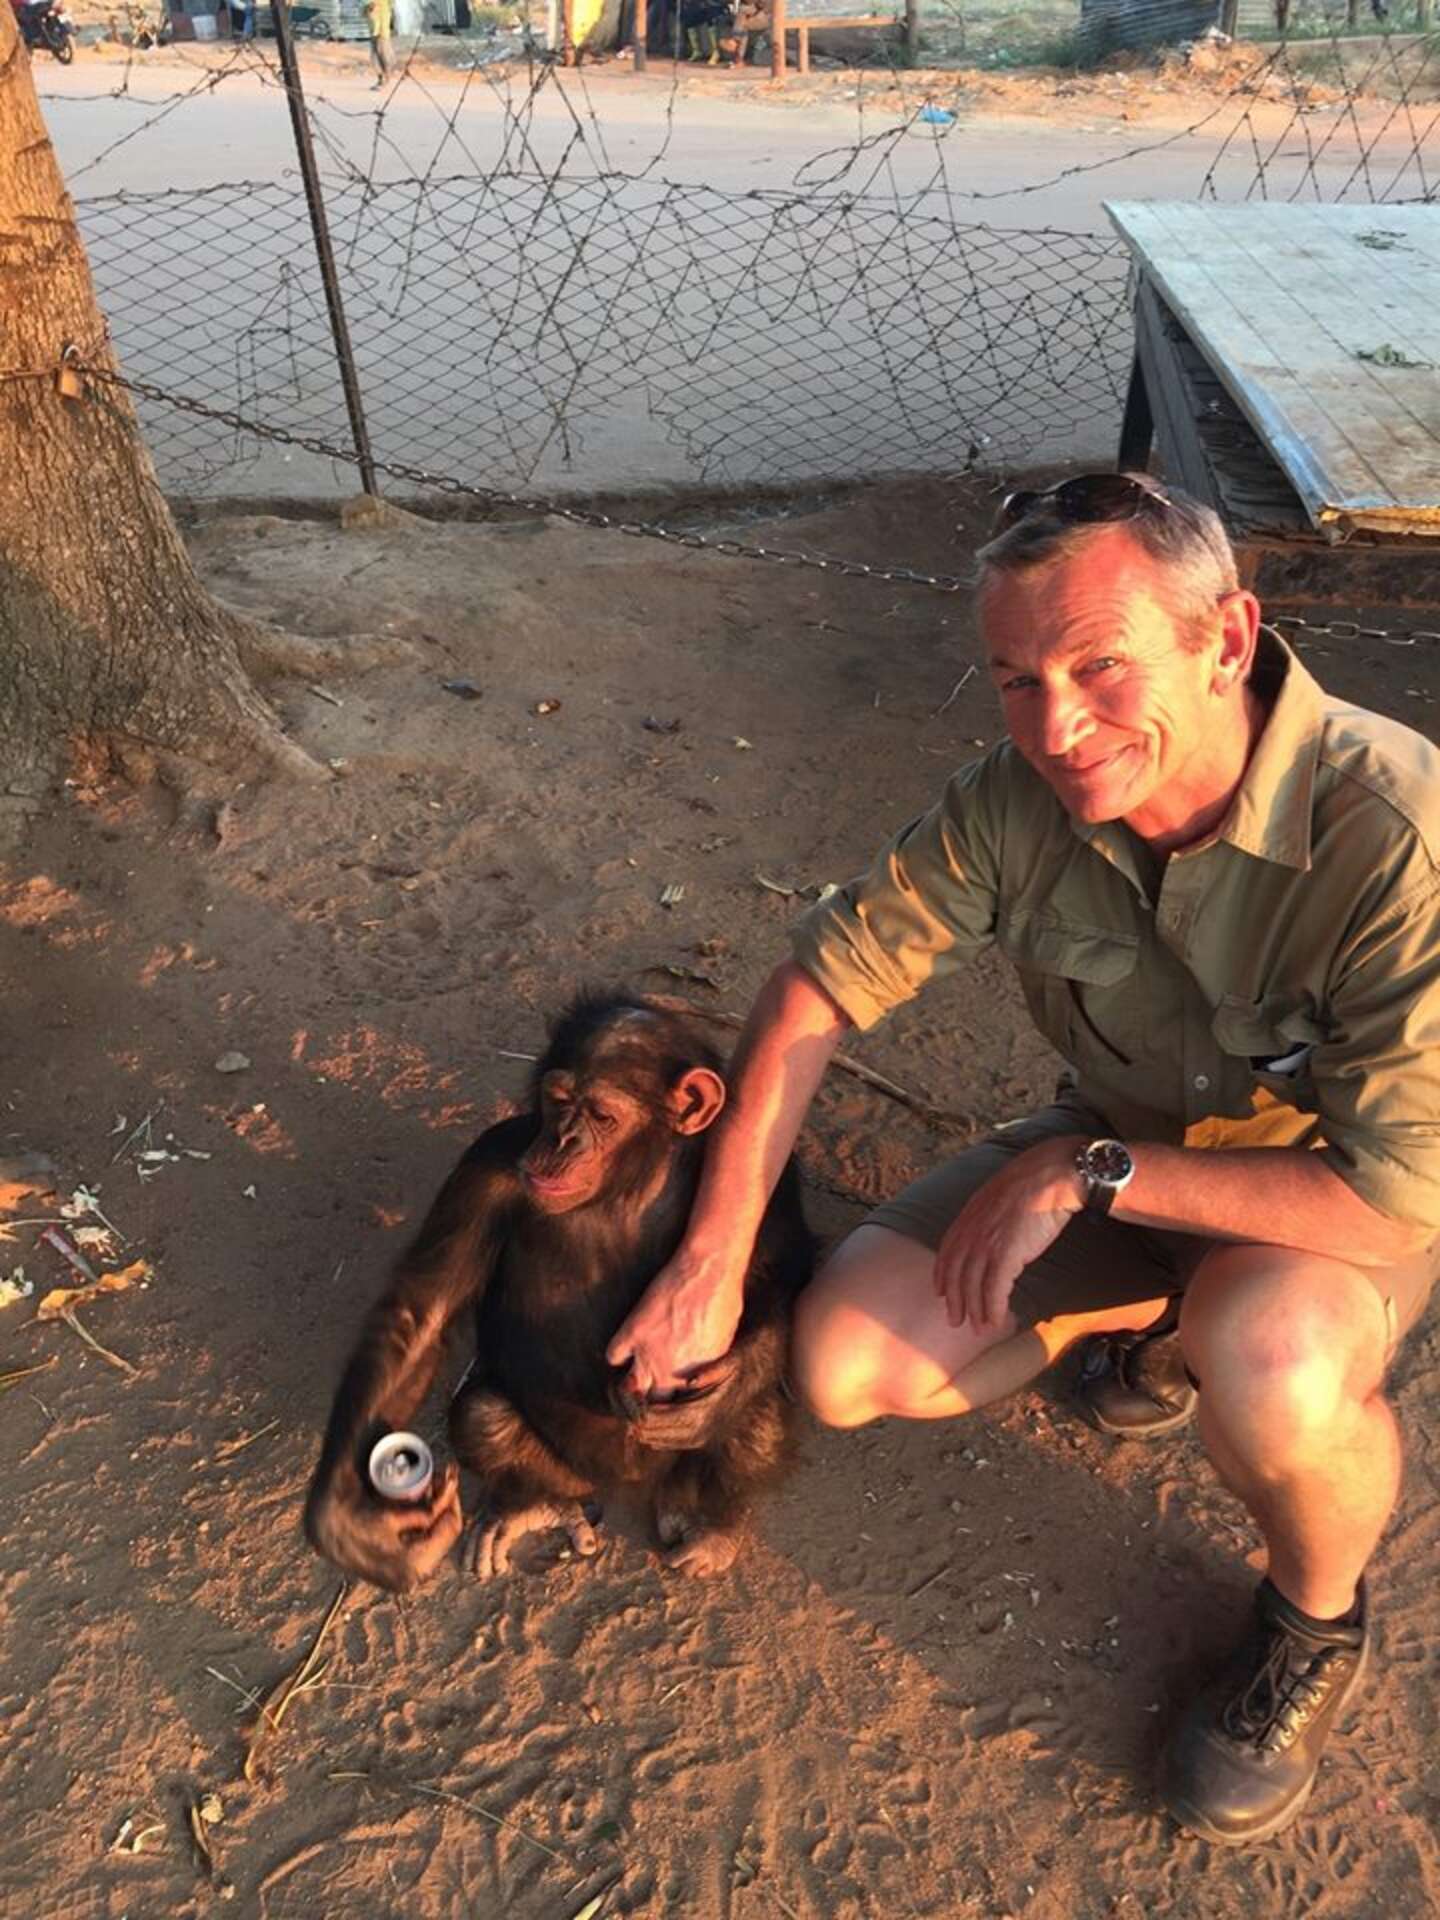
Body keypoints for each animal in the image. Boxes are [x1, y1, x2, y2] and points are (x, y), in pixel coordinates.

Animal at [304, 991, 817, 1592]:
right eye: (556, 1102)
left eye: (602, 1115)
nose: (560, 1141)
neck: (631, 1186)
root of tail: (629, 1485)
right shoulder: (487, 1167)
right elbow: (423, 1309)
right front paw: (349, 1522)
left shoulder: (766, 1183)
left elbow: (786, 1275)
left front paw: (723, 1390)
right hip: (574, 1472)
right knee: (484, 1415)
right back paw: (531, 1506)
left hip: (677, 1469)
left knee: (757, 1420)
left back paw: (710, 1524)